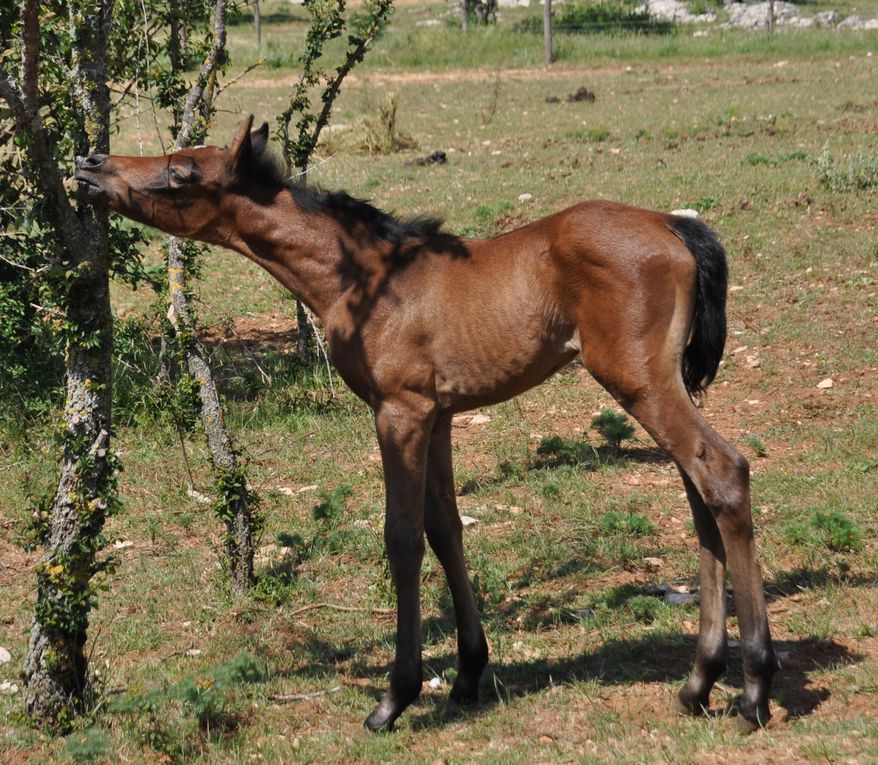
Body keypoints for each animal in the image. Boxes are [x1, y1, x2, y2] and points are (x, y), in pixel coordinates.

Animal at [75, 118, 776, 728]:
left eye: (182, 171)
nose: (90, 164)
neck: (363, 281)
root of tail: (674, 225)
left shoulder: (400, 411)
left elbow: (403, 538)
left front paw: (396, 696)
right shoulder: (438, 417)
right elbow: (446, 529)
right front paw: (467, 675)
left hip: (640, 382)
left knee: (723, 472)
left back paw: (753, 688)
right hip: (665, 385)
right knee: (700, 495)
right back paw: (698, 682)